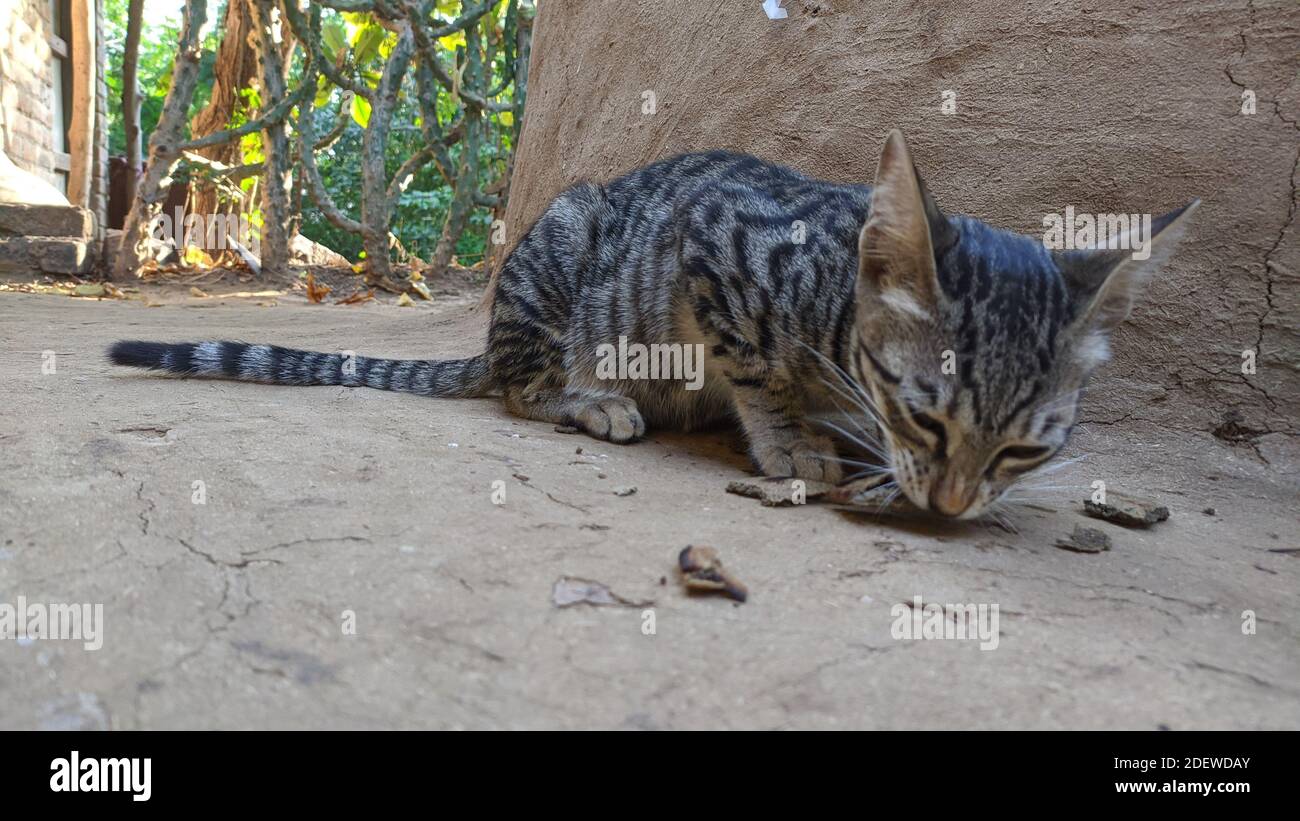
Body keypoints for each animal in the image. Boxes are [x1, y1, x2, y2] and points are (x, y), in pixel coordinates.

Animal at [114, 133, 1196, 519]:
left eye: (1021, 449)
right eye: (926, 415)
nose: (951, 501)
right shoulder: (713, 245)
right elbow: (759, 371)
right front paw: (797, 443)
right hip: (563, 242)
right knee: (521, 389)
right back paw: (593, 399)